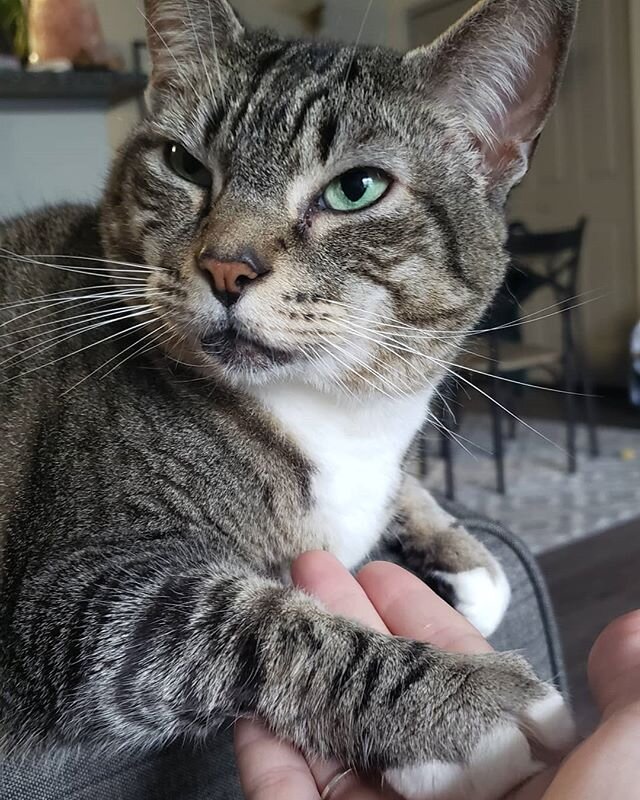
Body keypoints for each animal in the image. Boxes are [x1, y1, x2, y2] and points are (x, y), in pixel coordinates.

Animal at [0, 1, 580, 800]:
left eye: (356, 189)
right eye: (183, 163)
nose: (225, 266)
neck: (333, 410)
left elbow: (440, 524)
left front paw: (461, 561)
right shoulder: (74, 592)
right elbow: (262, 622)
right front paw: (469, 712)